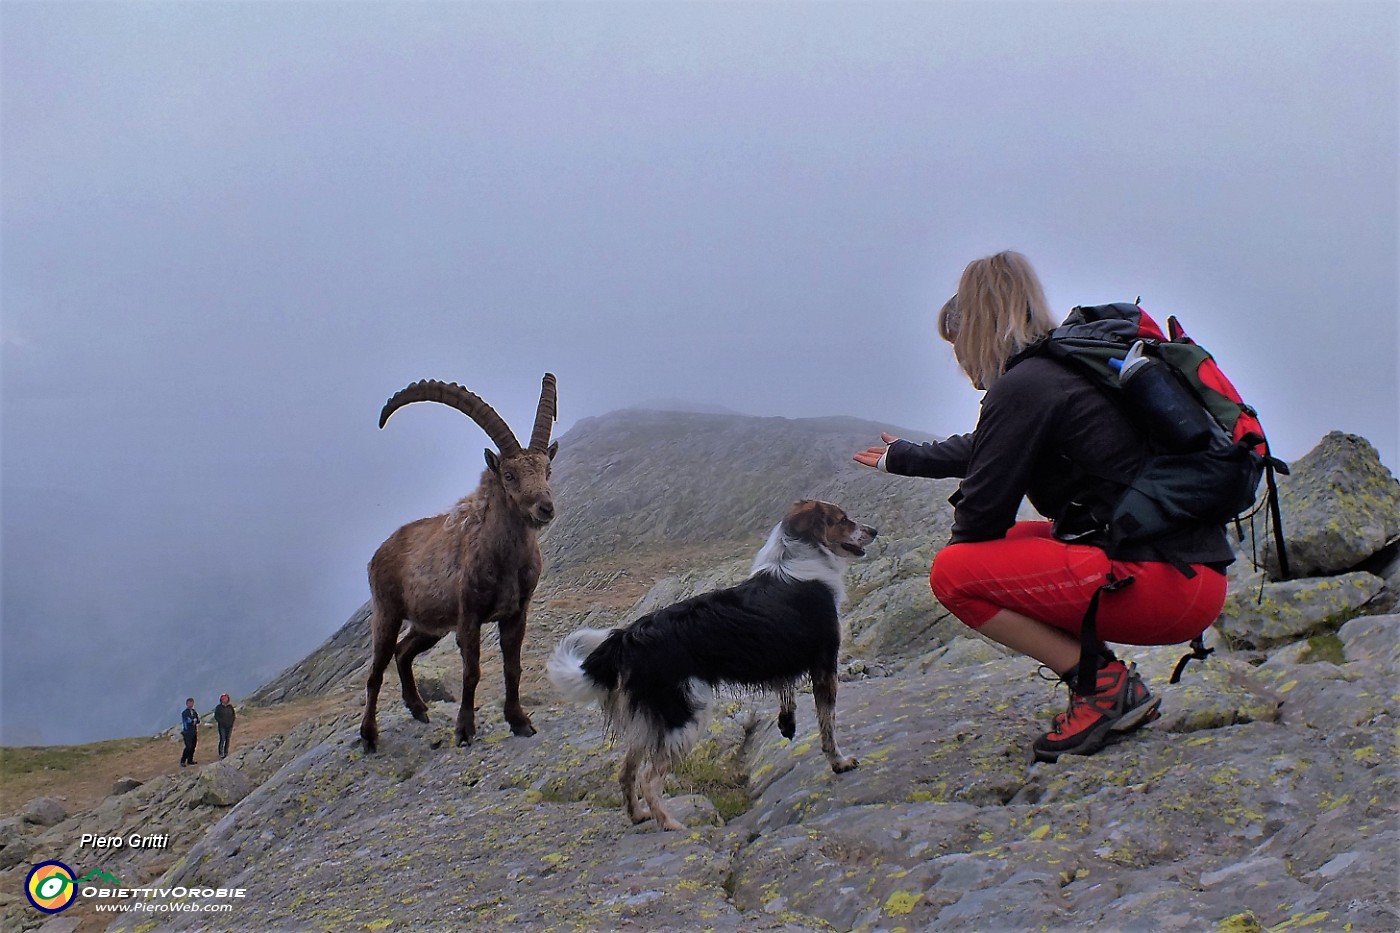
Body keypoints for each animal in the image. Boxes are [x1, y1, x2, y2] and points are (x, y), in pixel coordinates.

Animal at [546, 501, 873, 829]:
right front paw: (839, 763)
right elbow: (828, 727)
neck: (800, 558)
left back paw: (639, 815)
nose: (874, 530)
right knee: (649, 779)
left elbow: (786, 692)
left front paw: (787, 724)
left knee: (626, 771)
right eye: (843, 520)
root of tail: (628, 637)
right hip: (685, 717)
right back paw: (671, 826)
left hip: (653, 722)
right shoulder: (824, 665)